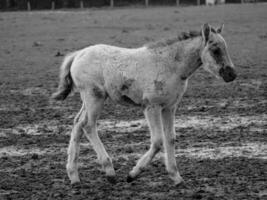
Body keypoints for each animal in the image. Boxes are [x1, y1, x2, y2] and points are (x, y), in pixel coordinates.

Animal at [51, 23, 237, 186]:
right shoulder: (151, 107)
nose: (232, 74)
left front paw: (176, 177)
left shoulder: (170, 107)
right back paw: (110, 172)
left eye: (225, 47)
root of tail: (77, 54)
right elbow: (158, 141)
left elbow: (170, 138)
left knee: (78, 123)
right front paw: (133, 174)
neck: (171, 66)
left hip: (90, 99)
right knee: (88, 126)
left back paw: (74, 176)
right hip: (94, 97)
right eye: (215, 50)